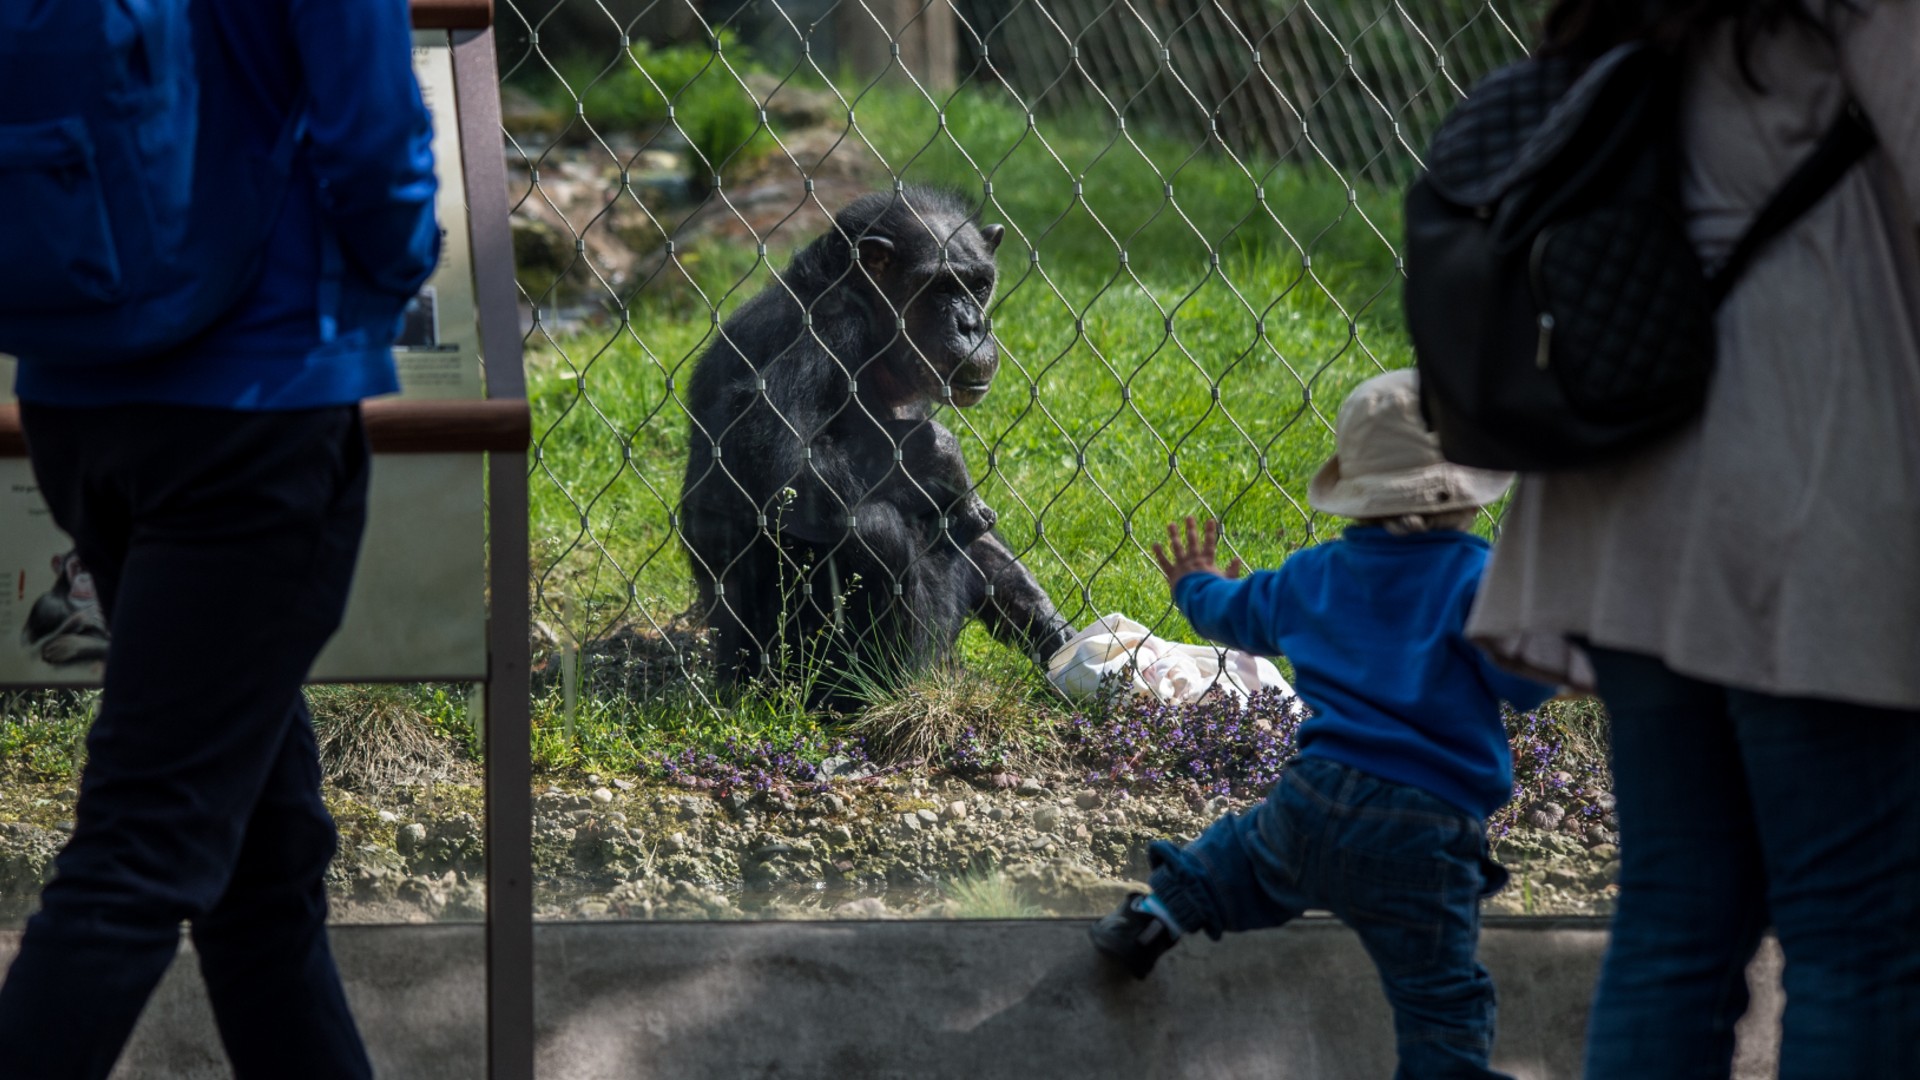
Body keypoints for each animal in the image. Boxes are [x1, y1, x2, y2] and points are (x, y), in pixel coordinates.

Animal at [679, 183, 1075, 699]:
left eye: (978, 285)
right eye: (939, 288)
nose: (970, 324)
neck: (874, 334)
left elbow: (980, 531)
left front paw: (1054, 629)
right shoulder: (819, 334)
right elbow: (770, 453)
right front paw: (939, 453)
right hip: (775, 666)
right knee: (870, 529)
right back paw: (881, 689)